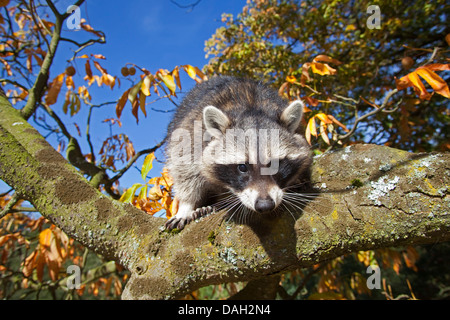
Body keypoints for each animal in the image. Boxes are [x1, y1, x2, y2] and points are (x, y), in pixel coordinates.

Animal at [165, 76, 312, 230]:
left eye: (276, 164)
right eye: (242, 167)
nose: (265, 205)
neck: (251, 107)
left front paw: (298, 177)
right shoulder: (192, 133)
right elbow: (185, 168)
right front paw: (186, 206)